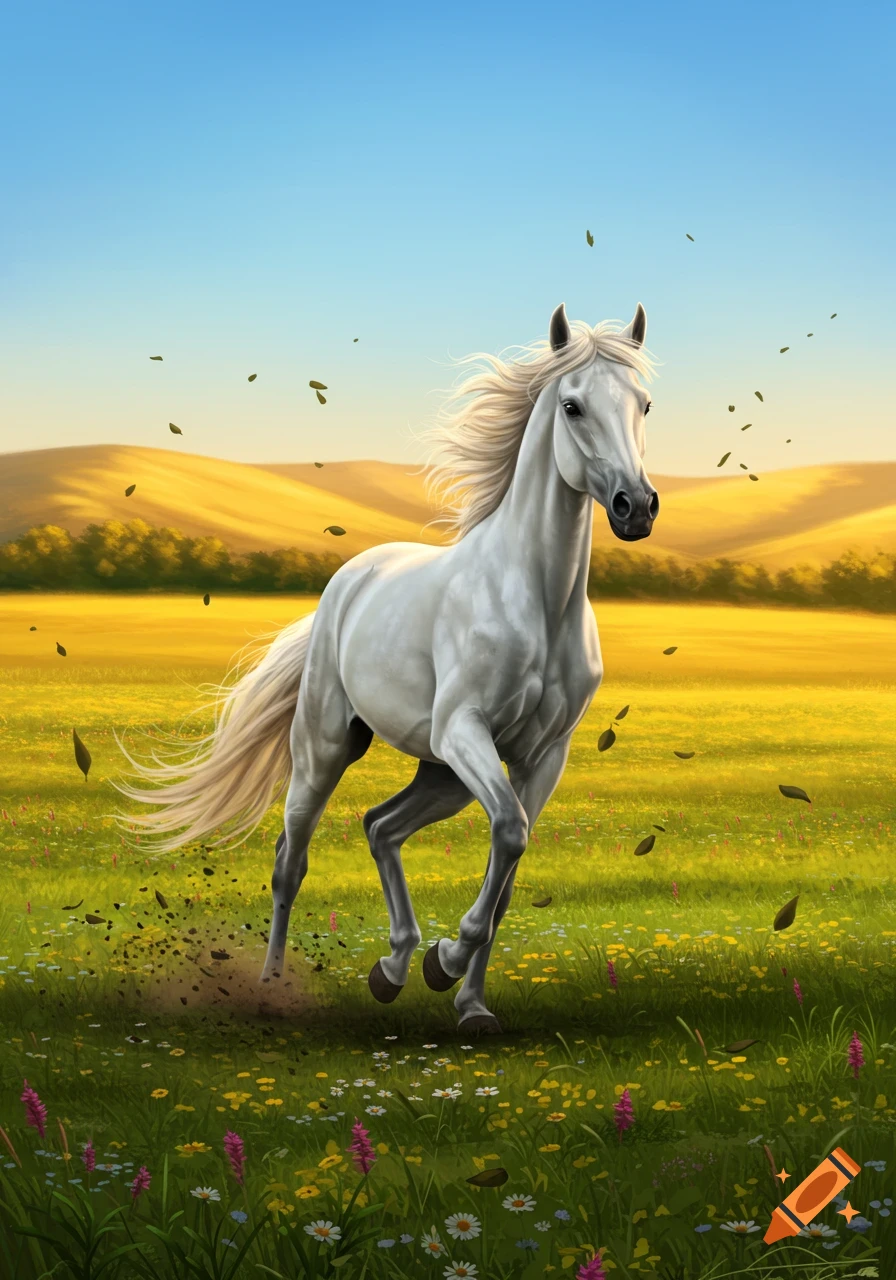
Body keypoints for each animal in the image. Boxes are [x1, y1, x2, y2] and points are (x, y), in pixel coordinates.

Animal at [113, 302, 659, 1034]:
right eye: (572, 406)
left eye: (645, 404)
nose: (637, 506)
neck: (536, 602)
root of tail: (349, 577)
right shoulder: (466, 731)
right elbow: (509, 832)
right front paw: (447, 961)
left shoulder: (542, 757)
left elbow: (509, 868)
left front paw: (469, 1004)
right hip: (331, 748)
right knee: (291, 860)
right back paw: (275, 987)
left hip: (443, 774)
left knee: (380, 825)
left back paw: (394, 967)